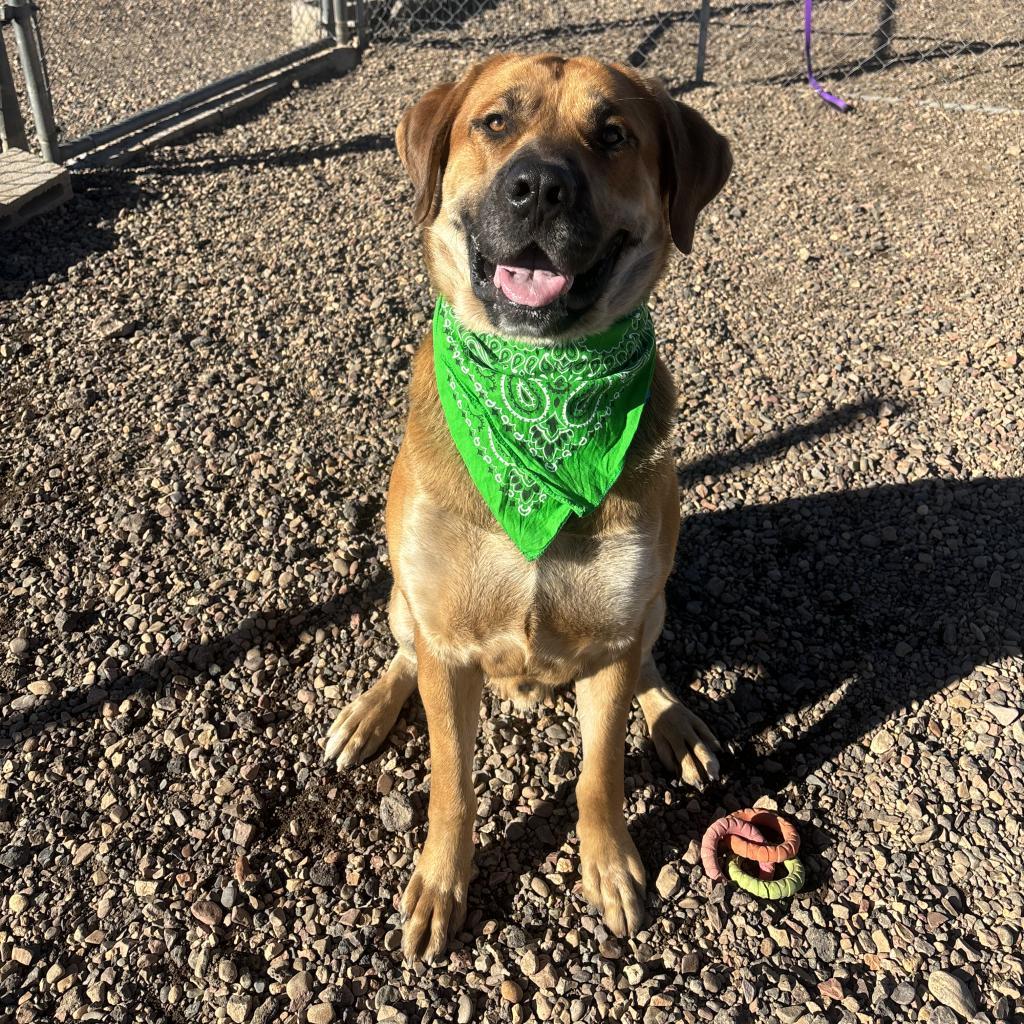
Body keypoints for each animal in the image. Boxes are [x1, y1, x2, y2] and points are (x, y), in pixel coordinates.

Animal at [323, 51, 733, 958]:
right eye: (495, 123)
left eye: (612, 134)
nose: (538, 187)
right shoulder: (446, 636)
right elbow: (451, 782)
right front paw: (441, 883)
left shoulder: (614, 628)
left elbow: (599, 774)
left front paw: (609, 864)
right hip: (402, 593)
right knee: (400, 652)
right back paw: (367, 714)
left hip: (653, 600)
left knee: (652, 664)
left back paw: (676, 724)